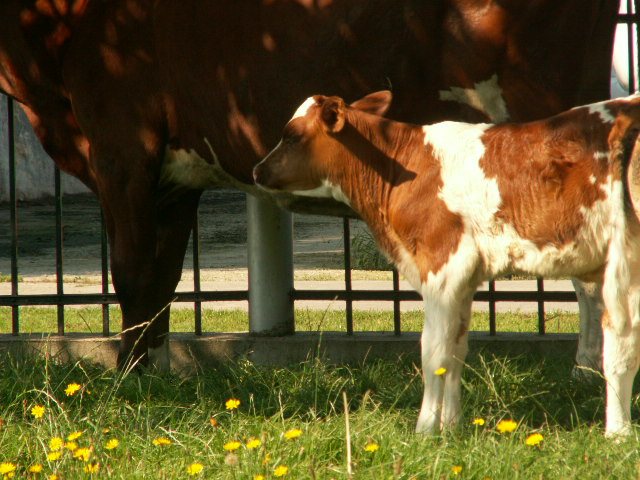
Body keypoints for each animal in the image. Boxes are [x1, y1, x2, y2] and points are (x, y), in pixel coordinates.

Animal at [0, 0, 619, 369]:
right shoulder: (173, 178)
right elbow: (160, 280)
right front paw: (154, 370)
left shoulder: (121, 144)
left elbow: (130, 273)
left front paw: (130, 377)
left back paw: (589, 374)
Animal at [253, 91, 640, 436]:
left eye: (291, 134)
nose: (257, 171)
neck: (404, 168)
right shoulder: (464, 280)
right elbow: (455, 351)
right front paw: (452, 428)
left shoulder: (444, 266)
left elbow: (434, 353)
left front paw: (426, 431)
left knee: (620, 348)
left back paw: (618, 433)